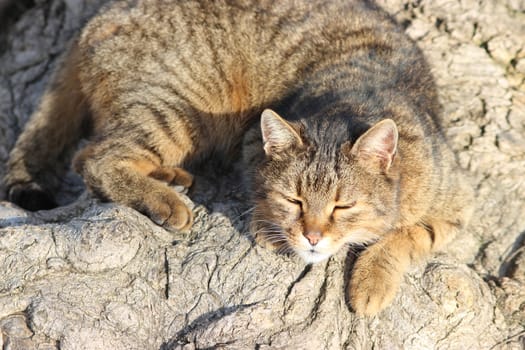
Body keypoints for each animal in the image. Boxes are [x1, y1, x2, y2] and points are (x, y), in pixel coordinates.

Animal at [3, 0, 470, 316]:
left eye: (343, 206)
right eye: (294, 199)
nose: (312, 237)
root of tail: (97, 19)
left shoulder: (456, 207)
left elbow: (405, 237)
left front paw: (372, 279)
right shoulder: (249, 141)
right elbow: (255, 185)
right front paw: (270, 225)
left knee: (91, 154)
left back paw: (168, 177)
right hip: (178, 110)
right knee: (94, 157)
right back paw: (164, 199)